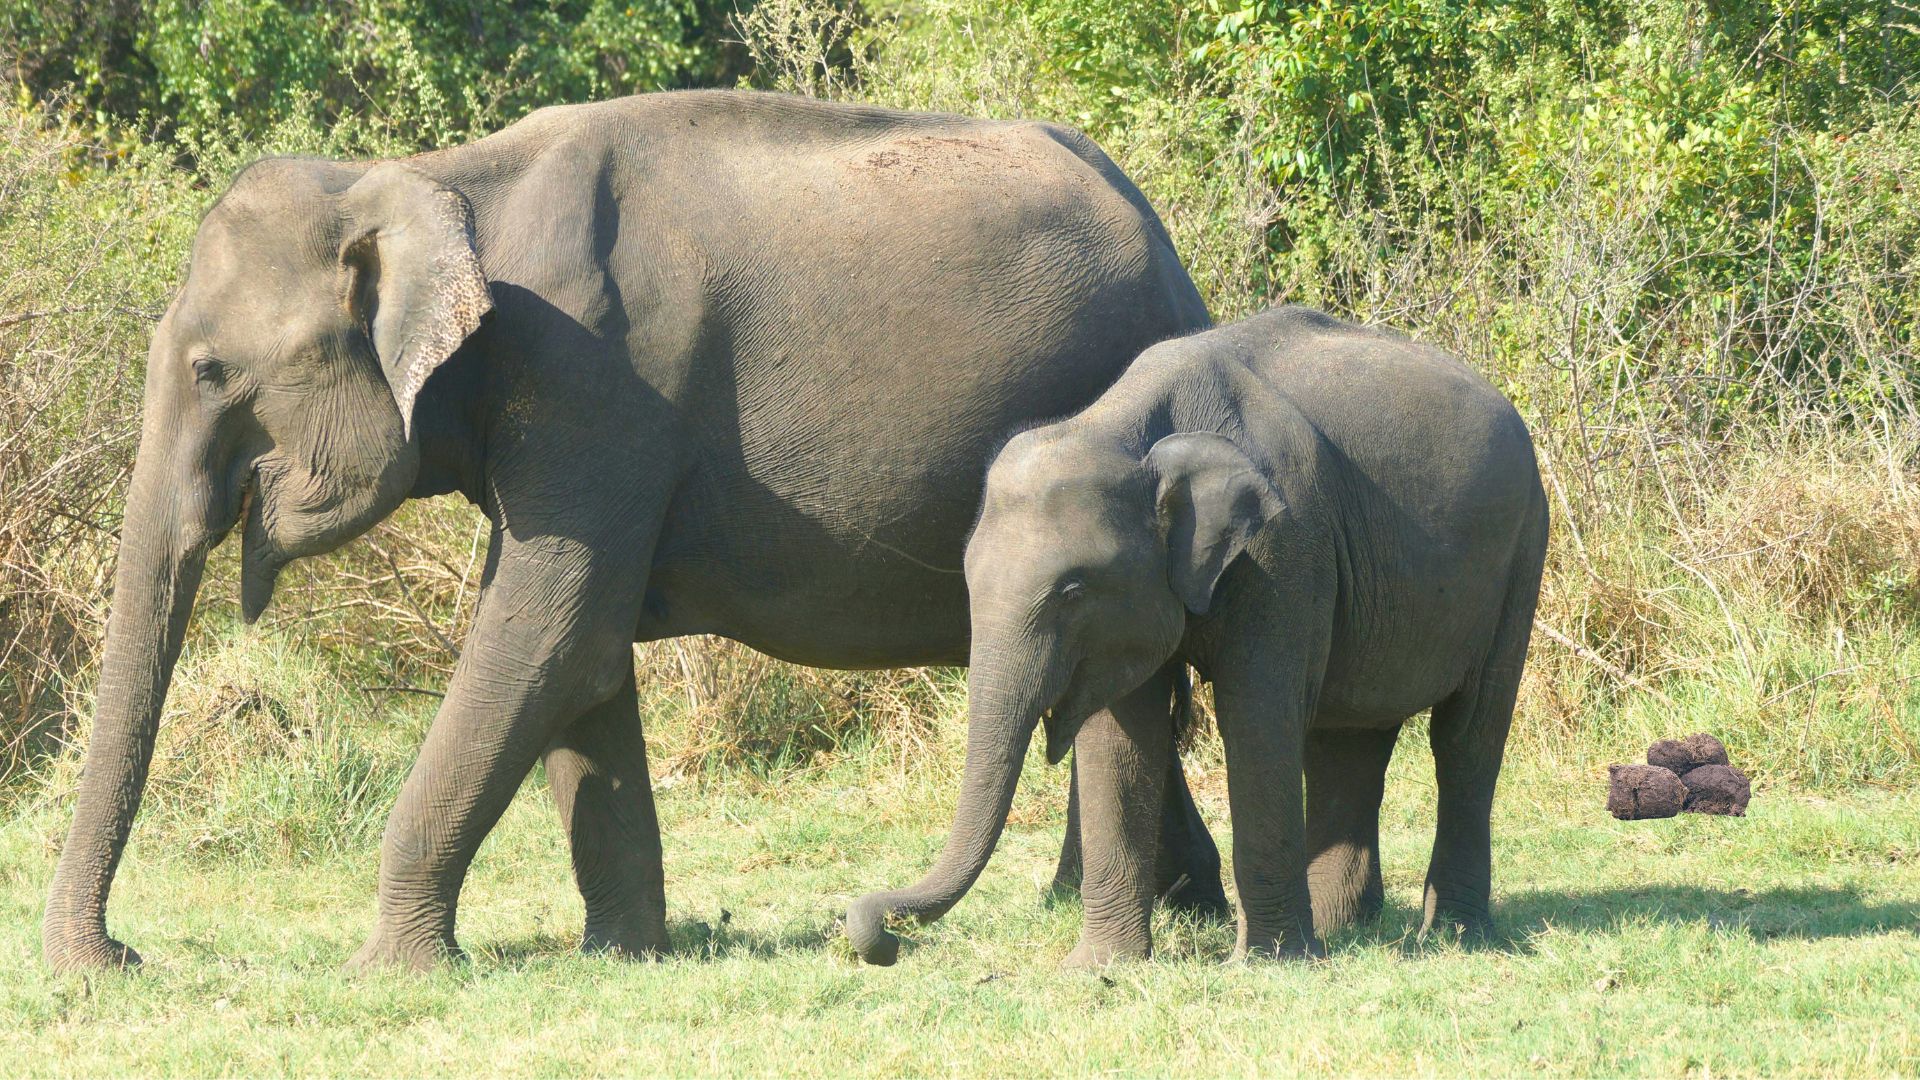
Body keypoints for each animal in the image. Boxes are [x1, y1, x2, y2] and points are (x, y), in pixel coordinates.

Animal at [41, 89, 1234, 974]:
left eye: (210, 371)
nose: (118, 960)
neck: (434, 178)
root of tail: (1171, 251)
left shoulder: (595, 386)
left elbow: (549, 632)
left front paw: (391, 969)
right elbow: (582, 653)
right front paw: (625, 952)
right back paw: (1168, 911)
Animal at [847, 305, 1549, 966]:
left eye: (1073, 591)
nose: (881, 938)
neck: (1126, 427)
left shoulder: (1285, 545)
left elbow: (1258, 715)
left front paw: (1265, 964)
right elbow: (1120, 736)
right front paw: (1098, 968)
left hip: (1521, 554)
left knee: (1465, 738)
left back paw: (1450, 935)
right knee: (1349, 737)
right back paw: (1339, 932)